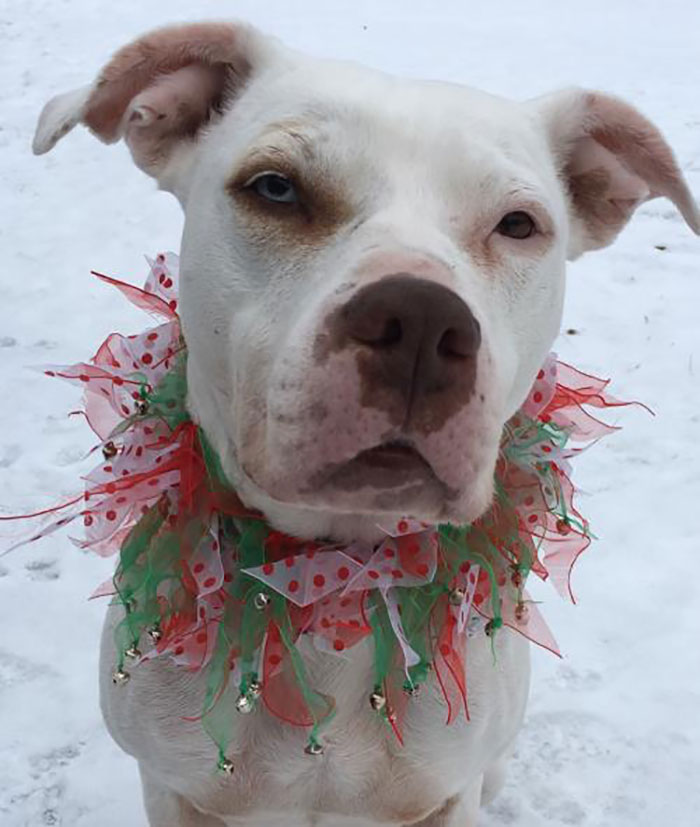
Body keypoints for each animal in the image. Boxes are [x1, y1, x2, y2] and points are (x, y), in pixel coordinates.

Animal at [32, 19, 700, 827]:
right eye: (276, 187)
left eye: (518, 224)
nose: (421, 321)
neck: (337, 590)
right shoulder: (177, 790)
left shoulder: (447, 794)